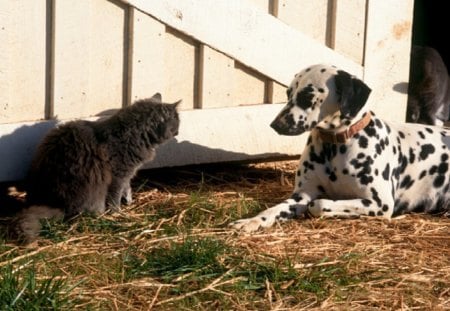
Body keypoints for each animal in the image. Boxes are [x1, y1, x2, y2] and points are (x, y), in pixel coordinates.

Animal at [14, 93, 179, 244]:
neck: (136, 135)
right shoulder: (119, 174)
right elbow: (115, 195)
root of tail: (51, 200)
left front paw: (129, 201)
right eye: (177, 123)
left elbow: (127, 188)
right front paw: (117, 213)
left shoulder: (127, 174)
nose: (178, 132)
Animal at [230, 64, 448, 232]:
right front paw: (252, 221)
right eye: (288, 93)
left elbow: (319, 204)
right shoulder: (301, 195)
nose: (275, 125)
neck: (333, 148)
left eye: (307, 96)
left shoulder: (380, 203)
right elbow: (274, 209)